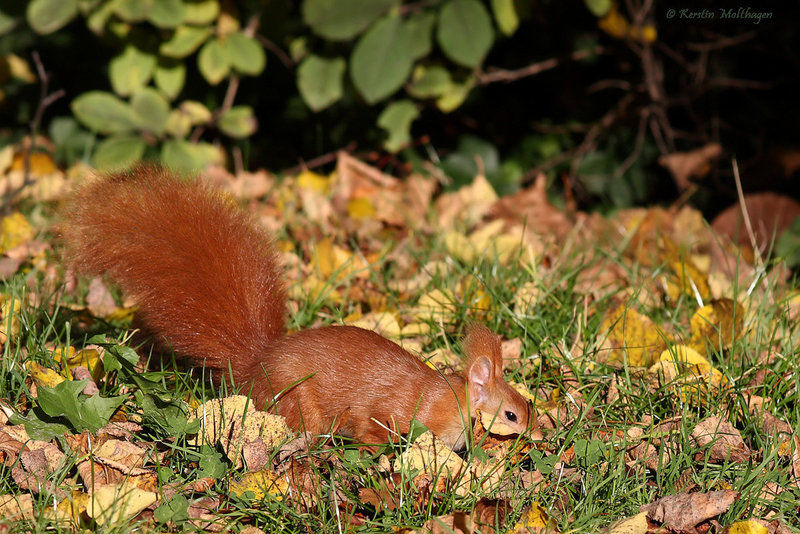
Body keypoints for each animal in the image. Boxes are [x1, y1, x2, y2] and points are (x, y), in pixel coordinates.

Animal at [59, 166, 528, 452]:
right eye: (511, 414)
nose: (535, 431)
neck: (456, 400)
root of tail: (256, 366)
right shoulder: (401, 412)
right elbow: (376, 426)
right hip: (296, 401)